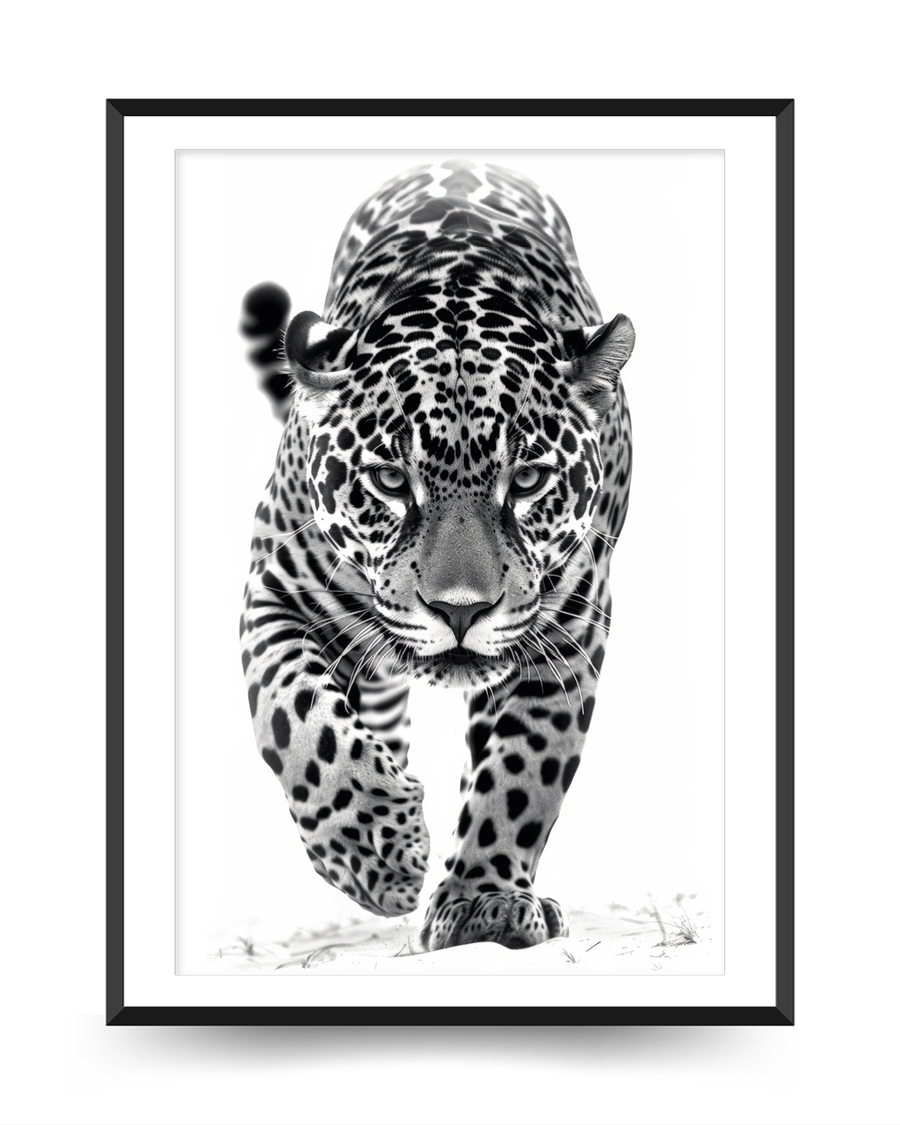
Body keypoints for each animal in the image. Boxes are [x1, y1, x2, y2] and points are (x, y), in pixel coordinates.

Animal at [239, 159, 635, 951]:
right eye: (392, 482)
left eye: (529, 480)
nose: (460, 610)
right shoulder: (273, 590)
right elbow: (297, 718)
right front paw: (376, 851)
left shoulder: (571, 632)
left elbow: (522, 771)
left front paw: (483, 901)